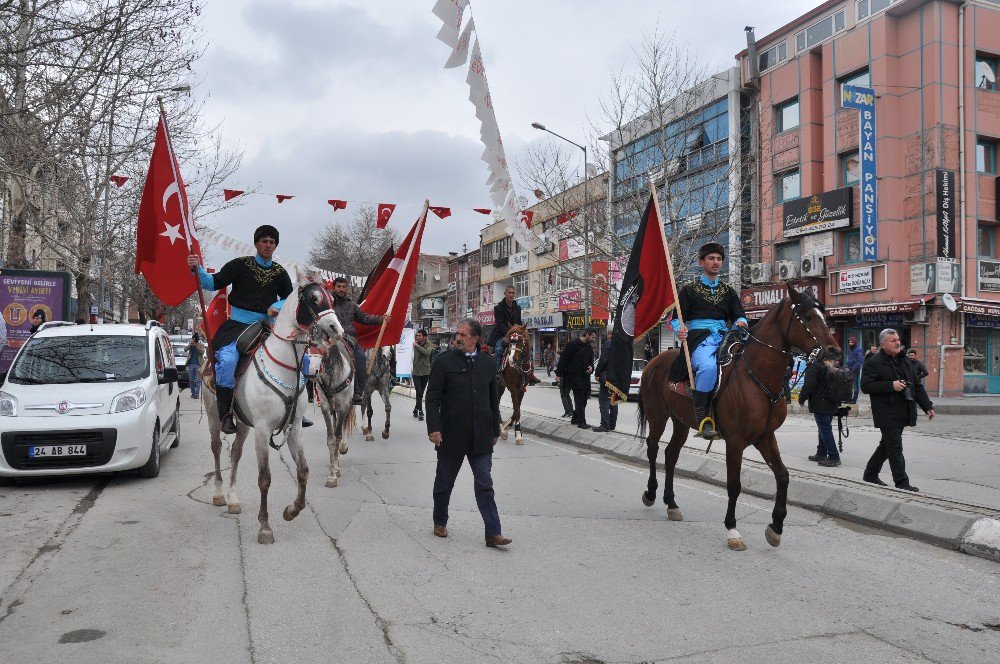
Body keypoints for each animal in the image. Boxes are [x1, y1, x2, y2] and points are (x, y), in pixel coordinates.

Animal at [202, 282, 344, 544]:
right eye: (314, 298)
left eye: (330, 298)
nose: (335, 329)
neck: (283, 366)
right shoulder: (262, 429)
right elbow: (264, 478)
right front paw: (265, 526)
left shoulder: (294, 427)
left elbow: (303, 471)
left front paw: (292, 510)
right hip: (214, 419)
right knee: (217, 449)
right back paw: (219, 494)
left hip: (243, 424)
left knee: (235, 453)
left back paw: (234, 499)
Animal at [318, 338, 358, 488]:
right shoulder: (325, 407)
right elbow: (331, 438)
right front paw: (332, 471)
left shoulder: (343, 407)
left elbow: (338, 436)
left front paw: (334, 472)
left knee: (343, 426)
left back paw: (343, 448)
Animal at [636, 288, 840, 552]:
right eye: (807, 317)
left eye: (823, 315)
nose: (834, 351)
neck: (756, 374)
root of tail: (652, 362)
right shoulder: (735, 441)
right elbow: (734, 484)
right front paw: (732, 530)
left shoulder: (765, 437)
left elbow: (783, 476)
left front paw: (776, 528)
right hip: (658, 415)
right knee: (652, 448)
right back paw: (650, 494)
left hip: (680, 421)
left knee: (671, 454)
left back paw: (671, 504)